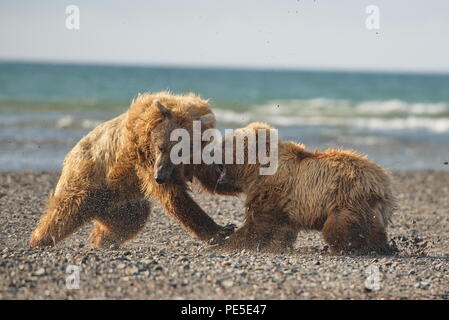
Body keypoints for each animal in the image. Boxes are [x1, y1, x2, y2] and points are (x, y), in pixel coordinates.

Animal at [29, 91, 234, 249]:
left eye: (180, 151)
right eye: (161, 147)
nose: (160, 177)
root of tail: (70, 154)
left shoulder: (197, 156)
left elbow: (211, 176)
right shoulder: (143, 155)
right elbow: (174, 198)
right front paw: (221, 231)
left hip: (118, 199)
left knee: (132, 220)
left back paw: (102, 241)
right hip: (87, 177)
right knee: (65, 210)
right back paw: (39, 240)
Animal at [208, 122, 394, 255]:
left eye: (224, 143)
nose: (210, 152)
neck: (255, 170)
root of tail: (384, 182)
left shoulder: (271, 190)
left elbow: (258, 225)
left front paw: (227, 243)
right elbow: (281, 230)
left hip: (348, 196)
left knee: (337, 228)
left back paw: (347, 248)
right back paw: (381, 246)